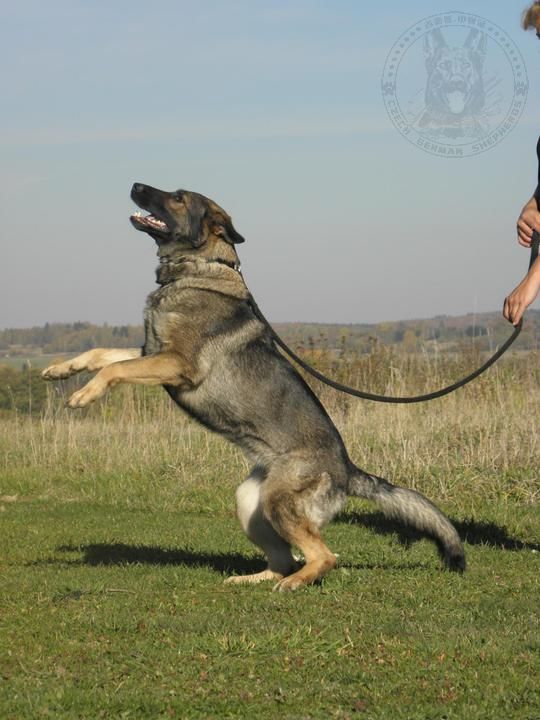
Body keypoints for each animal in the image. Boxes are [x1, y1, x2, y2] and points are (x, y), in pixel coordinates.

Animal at [42, 183, 465, 590]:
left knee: (324, 556)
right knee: (284, 559)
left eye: (178, 198)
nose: (134, 184)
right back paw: (255, 579)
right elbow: (101, 354)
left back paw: (294, 584)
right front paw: (62, 370)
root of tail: (347, 470)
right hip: (250, 502)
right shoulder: (152, 352)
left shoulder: (175, 363)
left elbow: (114, 369)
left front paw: (83, 395)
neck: (199, 268)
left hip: (278, 502)